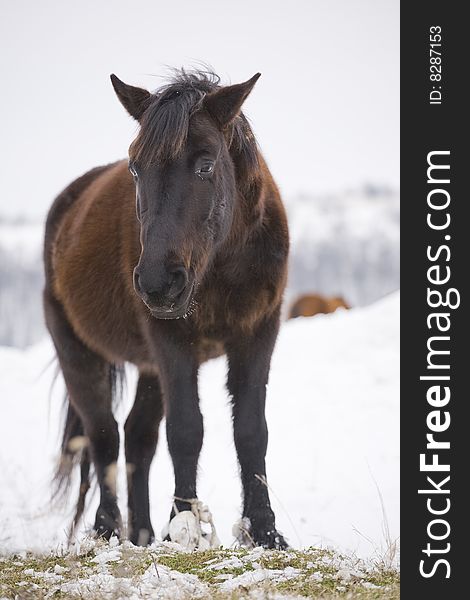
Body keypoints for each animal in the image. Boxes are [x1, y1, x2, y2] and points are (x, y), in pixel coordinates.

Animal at [43, 70, 290, 548]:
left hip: (149, 369)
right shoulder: (173, 342)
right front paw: (184, 526)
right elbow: (186, 430)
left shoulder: (257, 334)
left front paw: (266, 530)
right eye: (135, 167)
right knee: (104, 435)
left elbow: (252, 430)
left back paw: (141, 532)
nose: (158, 283)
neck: (221, 267)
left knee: (137, 436)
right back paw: (108, 530)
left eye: (206, 164)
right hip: (78, 352)